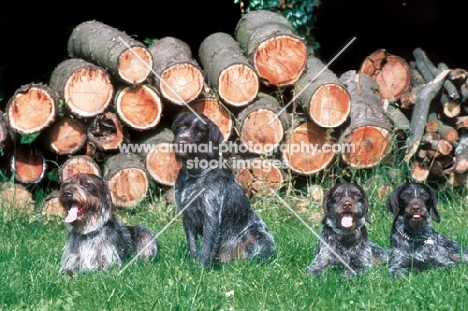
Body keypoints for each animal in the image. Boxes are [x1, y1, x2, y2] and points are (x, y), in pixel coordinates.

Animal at [171, 111, 274, 266]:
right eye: (182, 125)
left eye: (200, 131)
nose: (182, 142)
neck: (195, 174)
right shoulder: (187, 216)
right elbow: (193, 245)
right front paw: (193, 263)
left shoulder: (211, 217)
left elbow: (206, 247)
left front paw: (200, 269)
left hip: (257, 236)